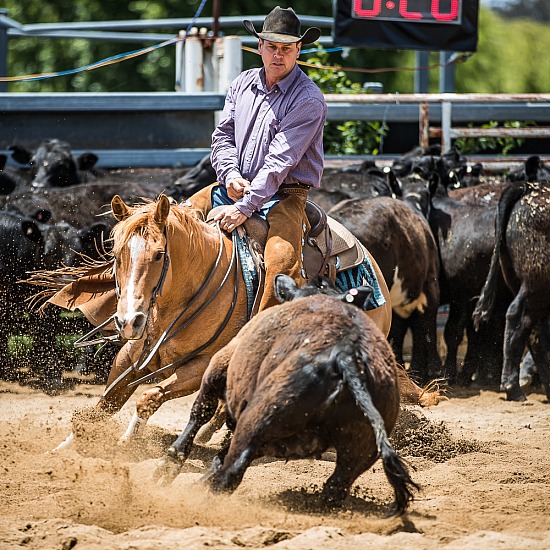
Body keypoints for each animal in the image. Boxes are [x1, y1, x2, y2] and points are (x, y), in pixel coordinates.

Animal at [157, 278, 424, 516]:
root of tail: (346, 356)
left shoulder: (217, 368)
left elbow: (199, 414)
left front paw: (168, 465)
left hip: (256, 423)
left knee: (230, 473)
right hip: (358, 450)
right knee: (334, 489)